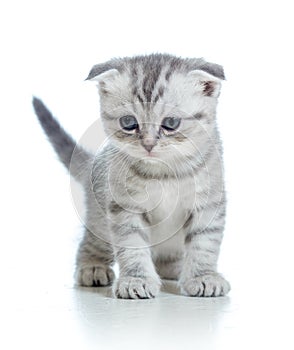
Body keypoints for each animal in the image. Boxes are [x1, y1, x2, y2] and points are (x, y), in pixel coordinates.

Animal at [32, 53, 230, 300]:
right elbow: (132, 244)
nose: (148, 144)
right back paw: (92, 267)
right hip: (100, 220)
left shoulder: (208, 204)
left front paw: (203, 276)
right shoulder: (124, 207)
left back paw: (176, 269)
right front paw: (136, 280)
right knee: (89, 243)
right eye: (128, 123)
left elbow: (204, 244)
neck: (165, 174)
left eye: (171, 123)